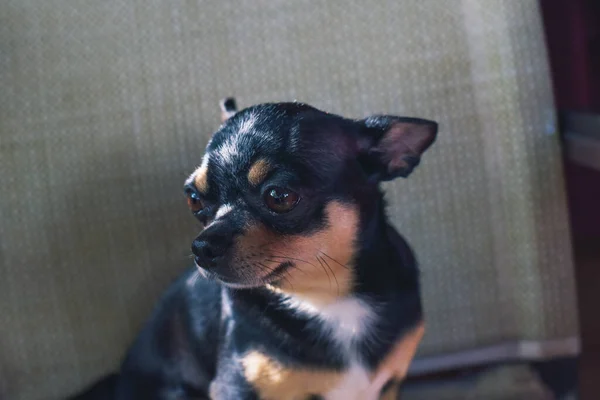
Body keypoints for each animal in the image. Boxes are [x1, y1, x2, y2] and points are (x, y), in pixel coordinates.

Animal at [70, 97, 436, 400]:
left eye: (280, 196)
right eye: (194, 199)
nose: (202, 247)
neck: (327, 300)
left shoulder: (387, 386)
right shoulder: (235, 389)